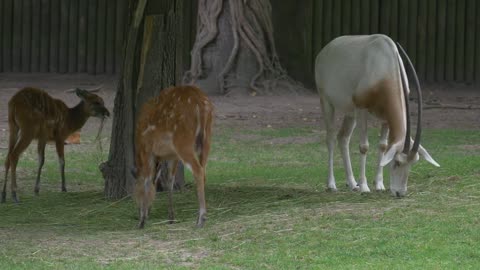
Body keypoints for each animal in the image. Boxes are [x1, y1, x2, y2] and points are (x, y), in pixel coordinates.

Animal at [133, 85, 212, 229]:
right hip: (206, 139)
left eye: (136, 193)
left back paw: (201, 220)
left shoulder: (147, 150)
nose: (138, 212)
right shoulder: (172, 156)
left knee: (198, 170)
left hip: (183, 142)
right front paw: (171, 217)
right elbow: (169, 181)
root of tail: (201, 104)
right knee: (204, 172)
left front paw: (142, 221)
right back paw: (198, 217)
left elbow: (147, 180)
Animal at [314, 34, 440, 197]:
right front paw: (364, 187)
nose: (400, 193)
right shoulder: (362, 109)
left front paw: (379, 184)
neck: (384, 68)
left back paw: (352, 183)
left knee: (343, 138)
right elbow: (364, 147)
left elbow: (383, 146)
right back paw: (332, 184)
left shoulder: (385, 117)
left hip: (350, 113)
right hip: (327, 102)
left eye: (413, 163)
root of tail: (325, 50)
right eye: (397, 162)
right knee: (330, 139)